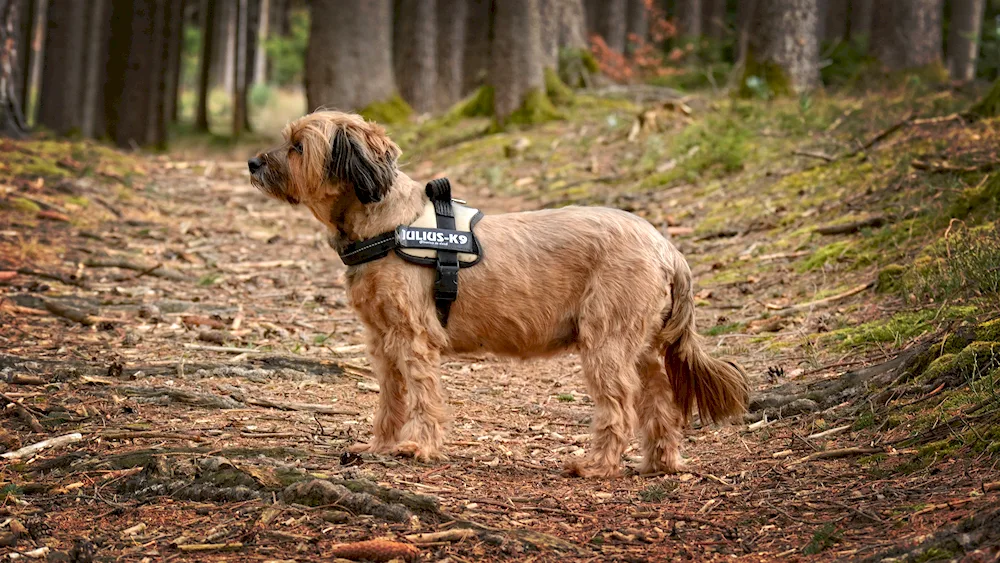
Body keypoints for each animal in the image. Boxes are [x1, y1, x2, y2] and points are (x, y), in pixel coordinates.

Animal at [250, 111, 752, 480]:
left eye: (298, 146)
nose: (254, 163)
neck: (387, 223)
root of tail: (666, 247)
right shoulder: (382, 342)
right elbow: (391, 398)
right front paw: (381, 445)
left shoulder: (413, 337)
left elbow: (422, 394)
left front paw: (417, 447)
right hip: (640, 343)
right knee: (659, 399)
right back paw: (660, 462)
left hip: (605, 340)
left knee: (619, 405)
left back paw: (597, 465)